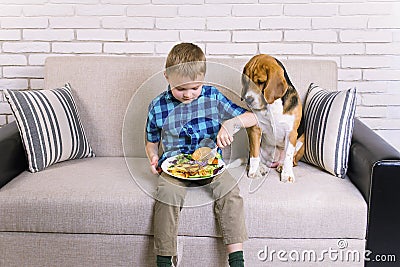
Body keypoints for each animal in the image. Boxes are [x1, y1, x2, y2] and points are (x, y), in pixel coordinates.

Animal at [241, 55, 306, 184]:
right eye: (246, 81)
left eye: (261, 82)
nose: (248, 99)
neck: (271, 106)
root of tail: (273, 162)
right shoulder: (255, 129)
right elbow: (254, 155)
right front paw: (254, 172)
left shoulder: (291, 133)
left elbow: (288, 156)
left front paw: (287, 174)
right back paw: (261, 167)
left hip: (302, 141)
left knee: (293, 161)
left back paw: (281, 166)